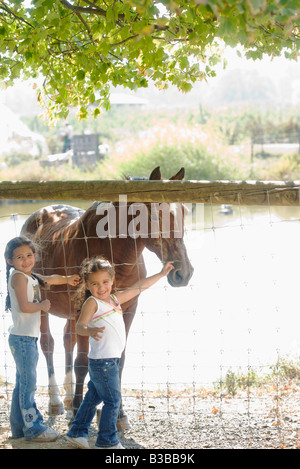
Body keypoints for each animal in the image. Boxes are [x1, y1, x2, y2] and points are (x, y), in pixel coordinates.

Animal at [21, 166, 195, 426]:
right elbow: (83, 362)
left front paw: (118, 414)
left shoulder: (128, 307)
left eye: (184, 211)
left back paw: (68, 396)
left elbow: (118, 359)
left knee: (67, 340)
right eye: (154, 217)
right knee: (48, 344)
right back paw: (57, 402)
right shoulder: (83, 308)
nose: (183, 273)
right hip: (41, 303)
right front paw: (78, 411)